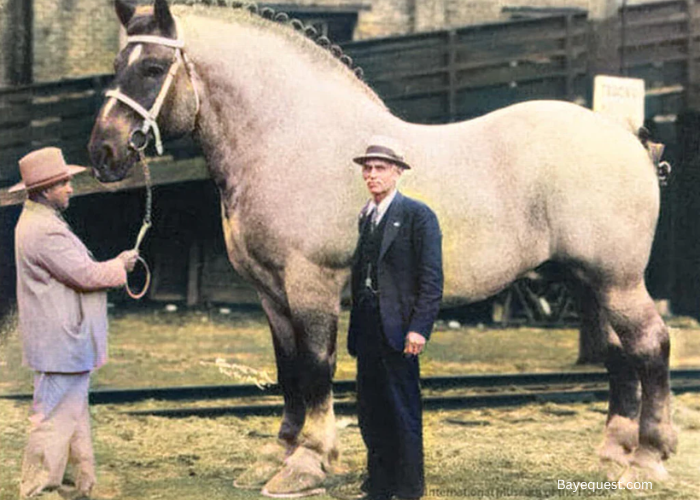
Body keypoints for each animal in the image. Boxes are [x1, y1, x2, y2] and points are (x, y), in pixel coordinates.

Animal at [90, 0, 676, 494]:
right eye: (117, 63)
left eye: (151, 68)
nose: (103, 152)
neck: (291, 140)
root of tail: (629, 139)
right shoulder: (271, 293)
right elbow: (287, 369)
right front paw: (277, 454)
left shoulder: (312, 283)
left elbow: (315, 367)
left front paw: (308, 461)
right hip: (589, 282)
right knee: (619, 354)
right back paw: (613, 453)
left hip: (618, 280)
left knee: (651, 345)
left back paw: (649, 457)